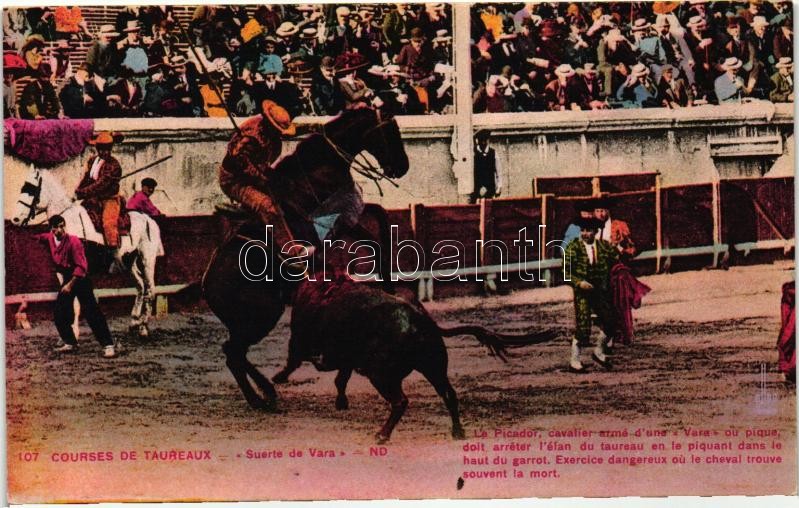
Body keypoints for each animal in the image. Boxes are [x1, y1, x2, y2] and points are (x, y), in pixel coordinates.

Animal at [10, 164, 165, 338]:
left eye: (31, 189)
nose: (15, 219)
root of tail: (149, 219)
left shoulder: (79, 270)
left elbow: (76, 301)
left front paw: (74, 332)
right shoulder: (62, 272)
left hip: (147, 259)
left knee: (150, 289)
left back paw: (143, 327)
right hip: (129, 262)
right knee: (140, 286)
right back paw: (134, 323)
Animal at [200, 108, 412, 412]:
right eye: (389, 132)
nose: (402, 167)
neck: (321, 165)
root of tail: (207, 284)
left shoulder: (349, 217)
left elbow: (380, 220)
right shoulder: (340, 221)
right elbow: (375, 242)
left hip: (251, 321)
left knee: (234, 353)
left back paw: (267, 391)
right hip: (262, 316)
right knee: (233, 353)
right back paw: (261, 397)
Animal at [272, 276, 560, 442]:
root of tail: (422, 320)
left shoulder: (300, 339)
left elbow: (295, 360)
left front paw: (278, 377)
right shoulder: (345, 357)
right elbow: (340, 379)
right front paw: (341, 402)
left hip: (382, 375)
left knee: (400, 401)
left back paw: (382, 435)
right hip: (434, 368)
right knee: (449, 394)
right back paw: (457, 432)